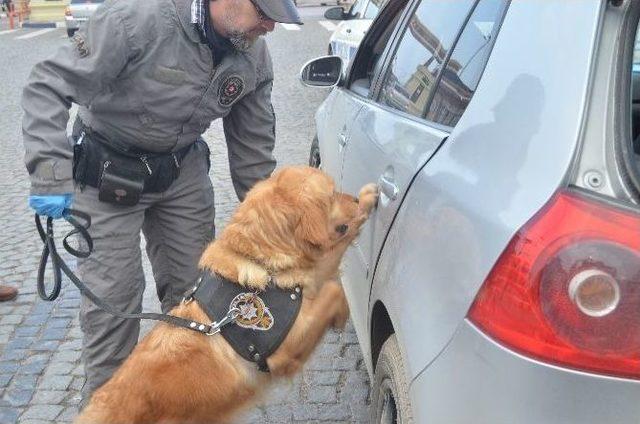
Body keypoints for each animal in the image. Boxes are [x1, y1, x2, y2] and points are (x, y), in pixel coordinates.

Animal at [78, 166, 380, 424]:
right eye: (331, 194)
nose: (353, 197)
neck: (261, 262)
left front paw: (367, 197)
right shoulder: (285, 347)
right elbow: (334, 288)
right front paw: (342, 315)